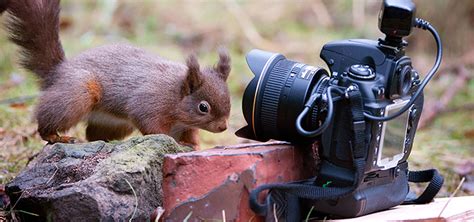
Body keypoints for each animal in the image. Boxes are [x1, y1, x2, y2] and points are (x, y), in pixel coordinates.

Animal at [1, 0, 231, 149]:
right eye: (203, 107)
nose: (223, 127)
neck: (175, 94)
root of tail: (58, 71)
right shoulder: (149, 102)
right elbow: (151, 124)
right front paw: (171, 141)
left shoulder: (183, 125)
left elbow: (190, 134)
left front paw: (193, 145)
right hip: (78, 94)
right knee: (47, 121)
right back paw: (57, 137)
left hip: (115, 124)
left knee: (93, 134)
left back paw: (104, 142)